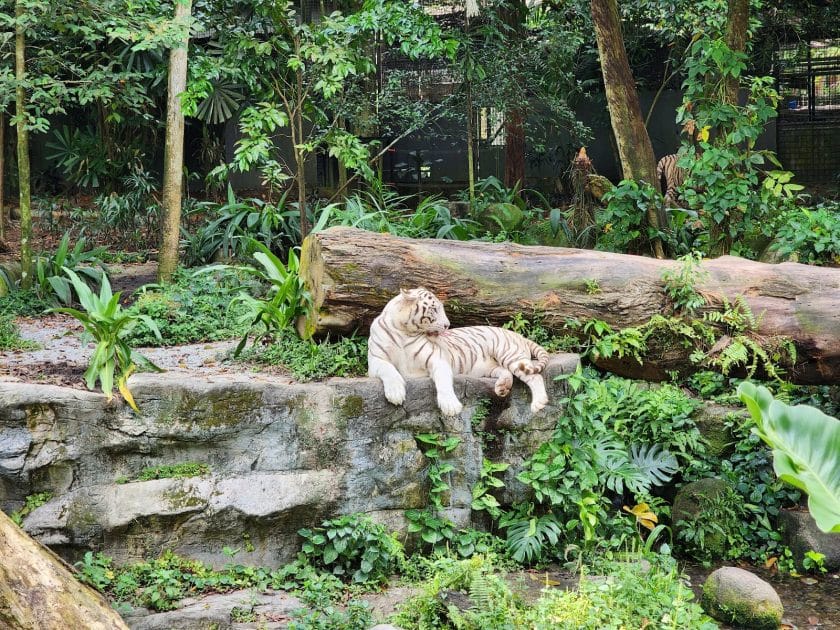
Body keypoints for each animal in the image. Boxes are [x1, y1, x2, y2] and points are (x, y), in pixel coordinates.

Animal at [367, 287, 550, 416]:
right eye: (434, 309)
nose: (448, 325)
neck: (403, 331)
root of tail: (518, 335)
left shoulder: (437, 358)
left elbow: (443, 381)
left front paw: (450, 406)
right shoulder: (375, 360)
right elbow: (388, 370)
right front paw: (395, 393)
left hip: (509, 354)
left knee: (535, 376)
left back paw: (538, 403)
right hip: (489, 367)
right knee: (506, 372)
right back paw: (502, 388)